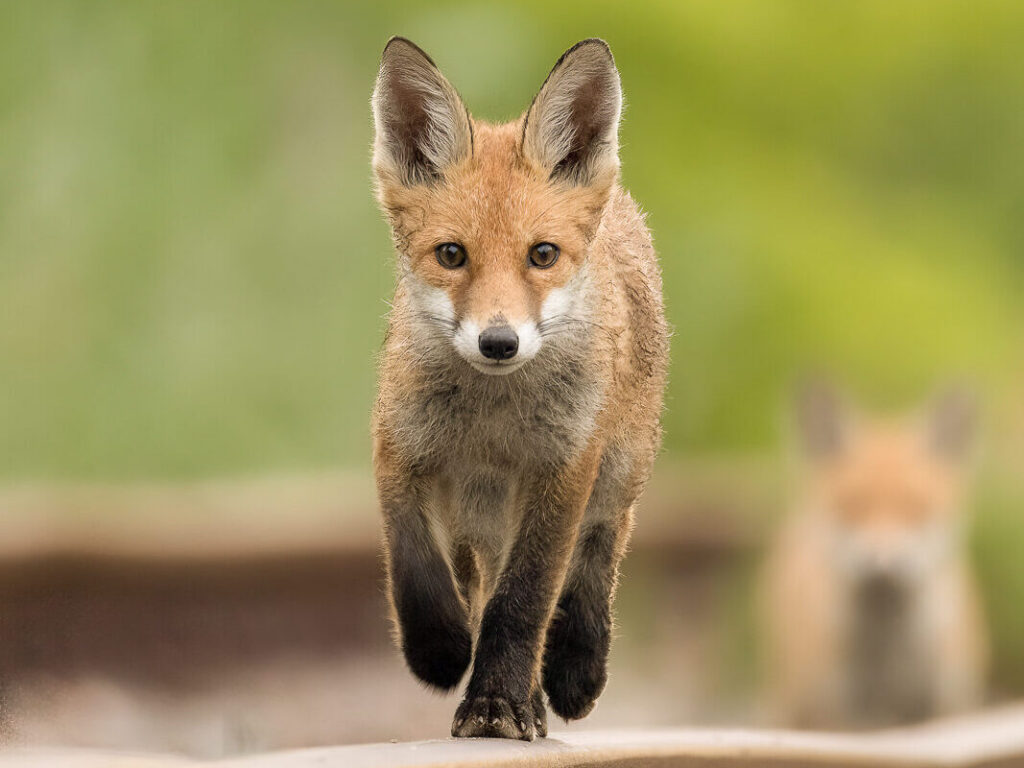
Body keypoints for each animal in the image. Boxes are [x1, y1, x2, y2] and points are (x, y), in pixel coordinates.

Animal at [369, 38, 668, 740]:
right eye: (452, 255)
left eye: (542, 255)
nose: (499, 342)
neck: (492, 425)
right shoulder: (398, 452)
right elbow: (417, 571)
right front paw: (441, 651)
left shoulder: (564, 471)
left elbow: (524, 600)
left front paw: (497, 703)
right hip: (474, 515)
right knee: (476, 581)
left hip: (618, 472)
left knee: (594, 560)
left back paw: (570, 672)